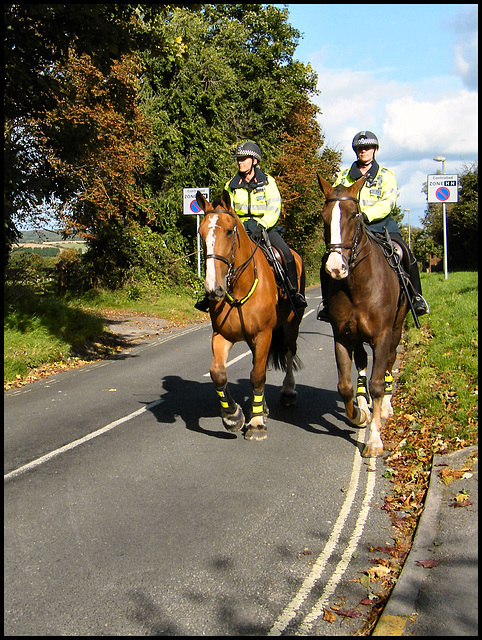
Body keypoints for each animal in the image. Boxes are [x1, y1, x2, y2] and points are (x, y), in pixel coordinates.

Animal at [196, 190, 306, 440]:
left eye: (229, 231)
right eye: (201, 233)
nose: (213, 289)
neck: (239, 287)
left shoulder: (264, 335)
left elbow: (257, 375)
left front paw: (255, 423)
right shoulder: (222, 336)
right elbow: (218, 372)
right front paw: (232, 416)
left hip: (291, 326)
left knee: (288, 353)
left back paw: (287, 392)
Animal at [318, 172, 408, 458]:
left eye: (354, 215)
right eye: (324, 217)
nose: (335, 268)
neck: (358, 284)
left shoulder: (382, 335)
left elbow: (378, 383)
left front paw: (374, 440)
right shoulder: (342, 336)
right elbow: (345, 386)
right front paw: (359, 416)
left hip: (396, 330)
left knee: (389, 363)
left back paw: (387, 407)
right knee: (361, 365)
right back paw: (363, 405)